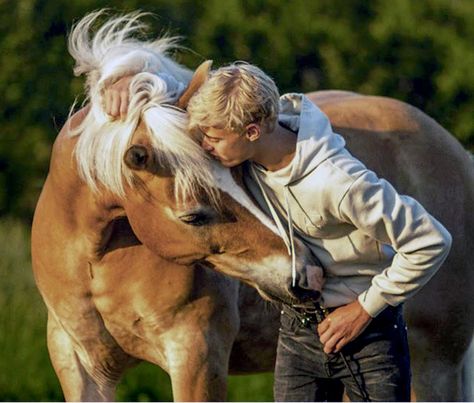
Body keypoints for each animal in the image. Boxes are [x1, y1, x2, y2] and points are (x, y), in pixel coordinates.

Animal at [31, 11, 472, 402]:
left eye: (240, 176)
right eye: (194, 216)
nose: (307, 275)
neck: (99, 259)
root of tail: (457, 155)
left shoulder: (197, 356)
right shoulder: (81, 367)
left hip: (434, 369)